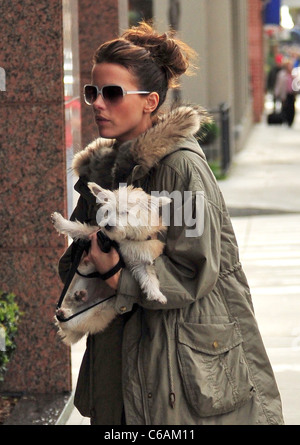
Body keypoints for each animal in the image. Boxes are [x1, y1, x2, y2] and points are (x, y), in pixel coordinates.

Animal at [51, 182, 171, 346]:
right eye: (107, 211)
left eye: (125, 212)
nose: (108, 226)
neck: (122, 240)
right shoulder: (95, 234)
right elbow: (79, 228)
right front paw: (60, 222)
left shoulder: (141, 260)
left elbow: (149, 277)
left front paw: (156, 294)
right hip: (82, 283)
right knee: (68, 311)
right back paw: (73, 302)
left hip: (101, 308)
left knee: (73, 319)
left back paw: (75, 303)